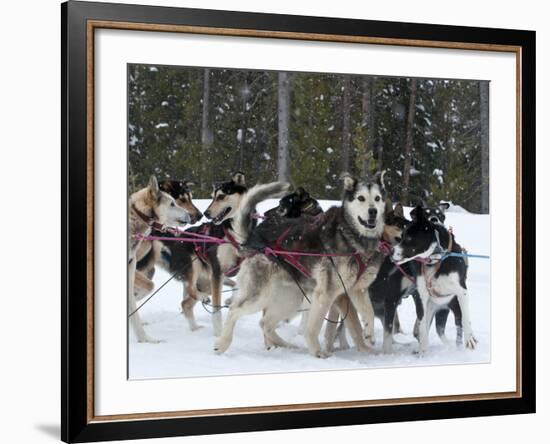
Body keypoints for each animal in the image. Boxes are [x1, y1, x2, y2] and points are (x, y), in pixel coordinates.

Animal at [213, 171, 390, 358]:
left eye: (377, 198)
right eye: (361, 198)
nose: (373, 211)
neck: (352, 236)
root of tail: (252, 237)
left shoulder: (357, 290)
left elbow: (366, 314)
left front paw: (368, 340)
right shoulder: (327, 293)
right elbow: (314, 328)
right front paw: (317, 352)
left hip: (291, 298)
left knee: (265, 323)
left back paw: (287, 346)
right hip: (262, 295)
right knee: (235, 310)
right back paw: (223, 344)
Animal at [392, 206, 478, 354]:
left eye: (408, 238)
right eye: (401, 236)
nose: (391, 252)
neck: (436, 258)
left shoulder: (461, 292)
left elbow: (466, 318)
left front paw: (470, 338)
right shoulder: (422, 296)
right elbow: (422, 327)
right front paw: (422, 351)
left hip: (454, 307)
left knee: (456, 328)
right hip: (431, 309)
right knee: (428, 328)